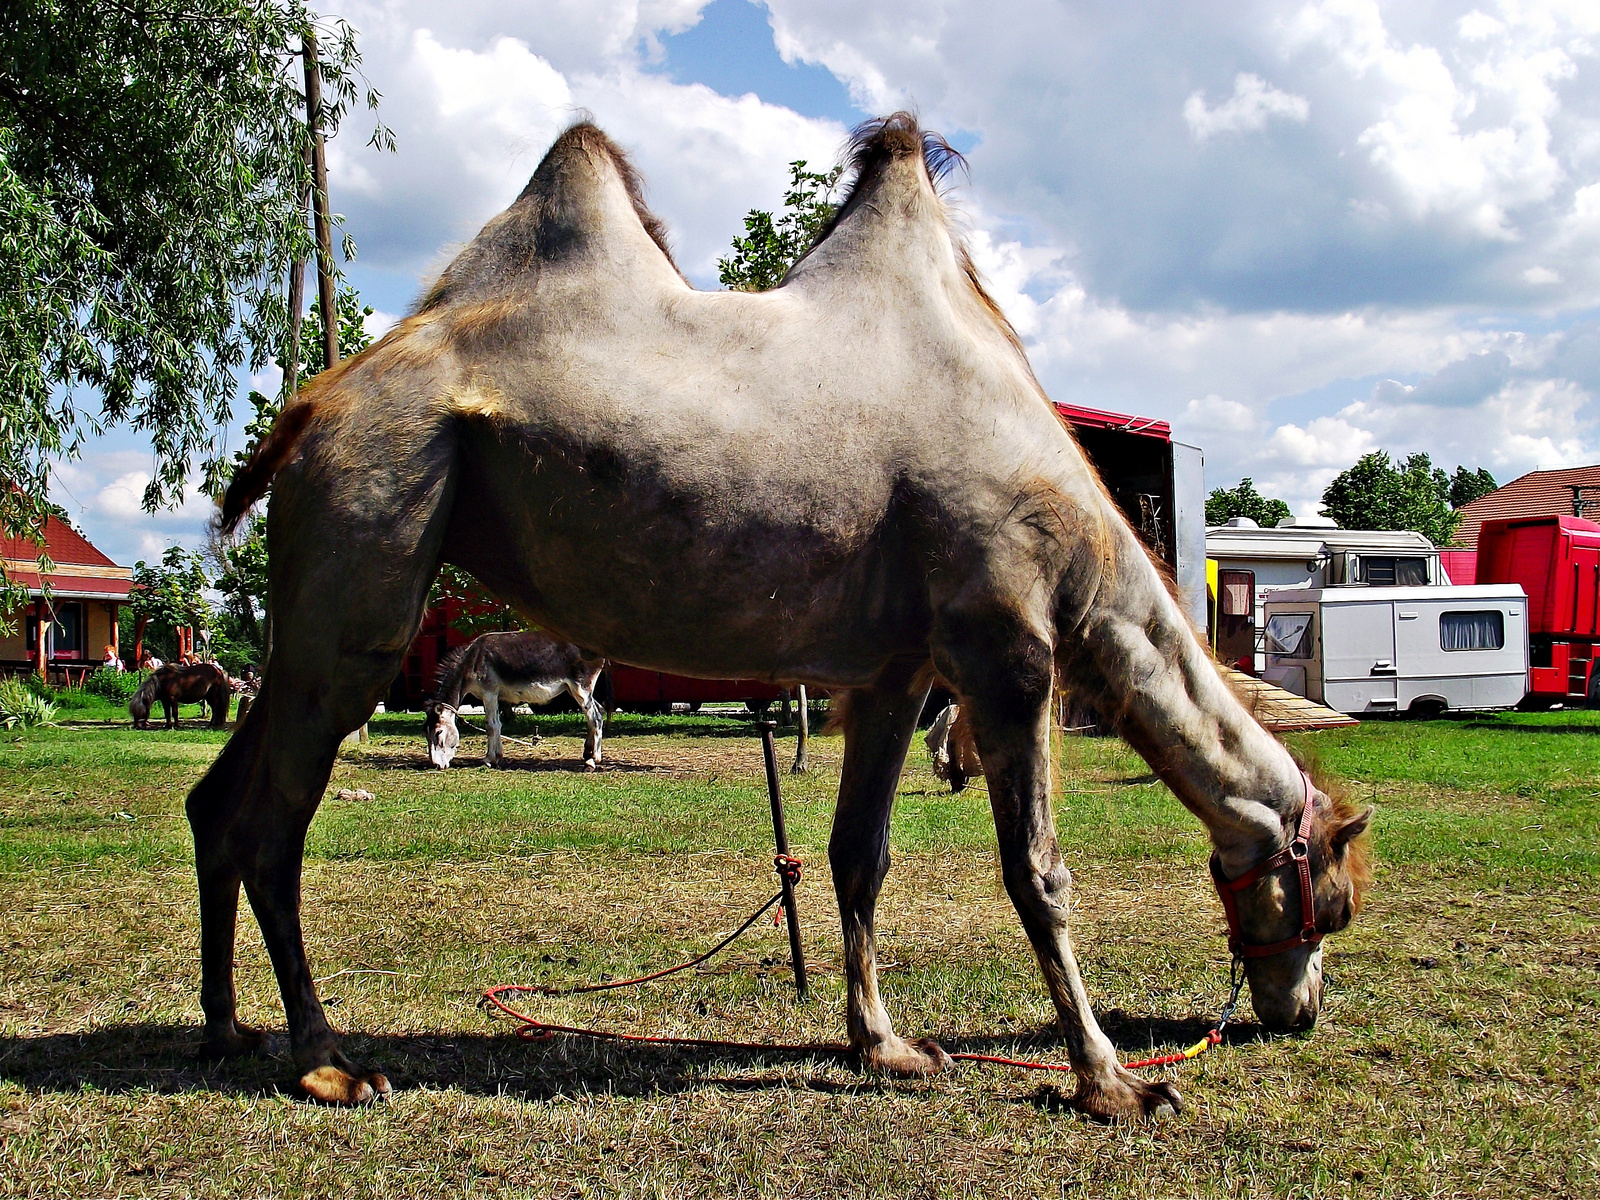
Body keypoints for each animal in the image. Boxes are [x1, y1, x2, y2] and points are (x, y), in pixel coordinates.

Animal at [196, 112, 1376, 1120]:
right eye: (1333, 900)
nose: (1298, 1014)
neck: (1078, 537)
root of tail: (312, 404)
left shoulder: (895, 672)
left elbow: (861, 852)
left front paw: (884, 1046)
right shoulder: (1006, 648)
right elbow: (1038, 872)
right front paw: (1114, 1082)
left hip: (315, 609)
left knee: (219, 800)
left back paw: (228, 1029)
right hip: (369, 540)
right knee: (274, 823)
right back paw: (326, 1062)